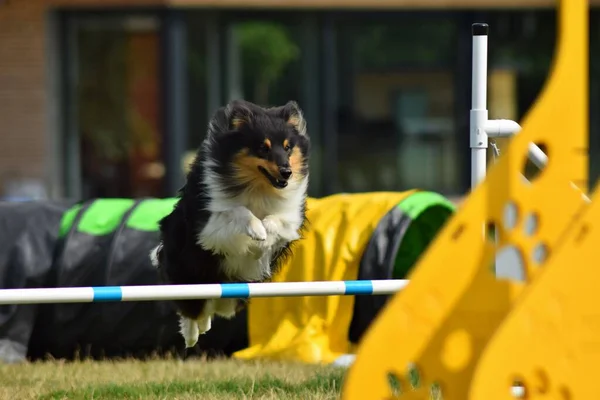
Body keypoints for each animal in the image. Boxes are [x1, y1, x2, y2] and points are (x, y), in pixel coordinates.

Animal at [150, 99, 312, 346]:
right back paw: (192, 335)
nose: (287, 172)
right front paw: (257, 231)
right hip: (188, 269)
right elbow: (238, 210)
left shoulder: (290, 218)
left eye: (287, 147)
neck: (259, 188)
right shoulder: (209, 227)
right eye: (263, 147)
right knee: (191, 308)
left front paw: (263, 240)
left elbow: (274, 221)